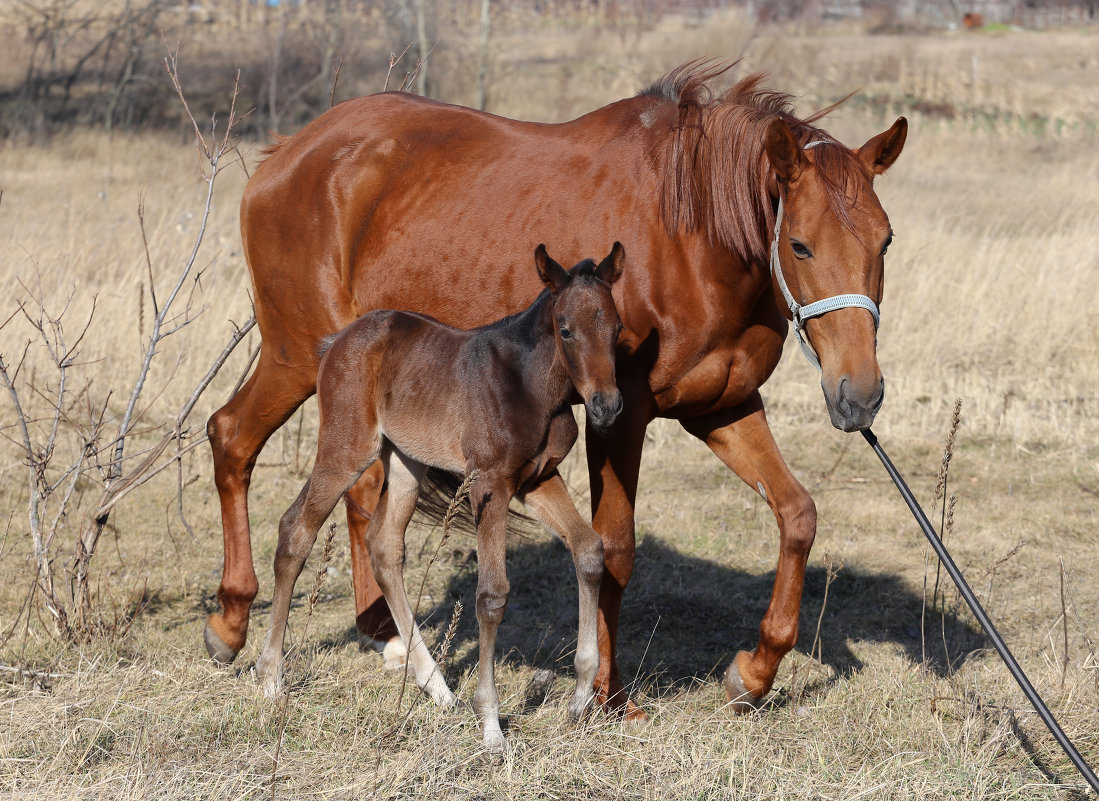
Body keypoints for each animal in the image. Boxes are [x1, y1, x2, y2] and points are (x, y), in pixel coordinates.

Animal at [251, 243, 624, 751]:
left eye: (617, 328)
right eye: (565, 329)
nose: (607, 406)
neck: (528, 384)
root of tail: (336, 342)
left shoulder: (538, 479)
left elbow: (588, 551)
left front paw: (580, 696)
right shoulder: (489, 485)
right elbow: (492, 594)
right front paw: (491, 727)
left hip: (406, 461)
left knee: (384, 546)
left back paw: (437, 687)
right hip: (347, 449)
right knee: (296, 529)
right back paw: (271, 678)